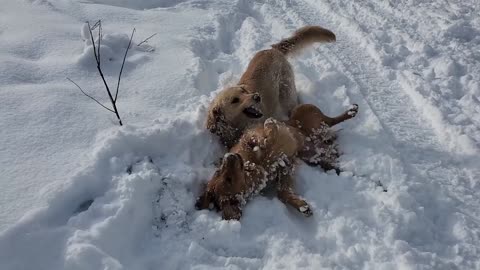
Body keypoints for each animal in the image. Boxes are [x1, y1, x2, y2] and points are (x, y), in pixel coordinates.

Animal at [195, 103, 356, 219]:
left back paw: (351, 111)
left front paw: (269, 126)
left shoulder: (252, 137)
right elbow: (282, 193)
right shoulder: (285, 169)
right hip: (311, 154)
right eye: (227, 178)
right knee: (327, 143)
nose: (229, 156)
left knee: (331, 120)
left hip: (308, 112)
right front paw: (301, 206)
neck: (254, 166)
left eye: (218, 171)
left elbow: (261, 139)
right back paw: (337, 165)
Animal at [207, 25, 338, 149]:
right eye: (235, 100)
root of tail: (273, 50)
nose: (257, 96)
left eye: (244, 91)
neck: (238, 126)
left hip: (287, 95)